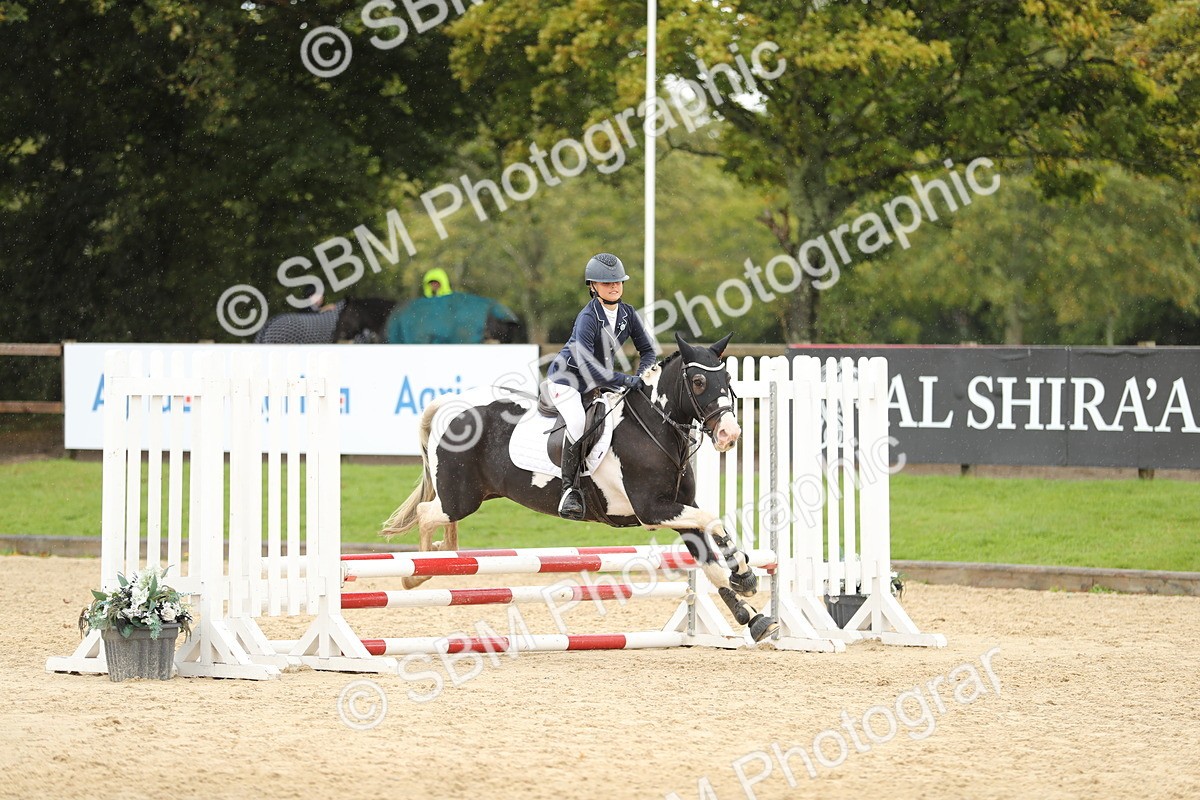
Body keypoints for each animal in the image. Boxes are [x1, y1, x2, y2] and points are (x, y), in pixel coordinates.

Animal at [380, 332, 779, 642]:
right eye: (698, 383)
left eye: (728, 380)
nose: (730, 435)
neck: (654, 426)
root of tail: (451, 403)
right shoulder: (653, 511)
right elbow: (713, 520)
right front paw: (745, 576)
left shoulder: (680, 511)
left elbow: (710, 557)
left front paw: (753, 614)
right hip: (460, 498)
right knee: (427, 514)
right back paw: (418, 575)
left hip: (465, 497)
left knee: (442, 522)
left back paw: (444, 559)